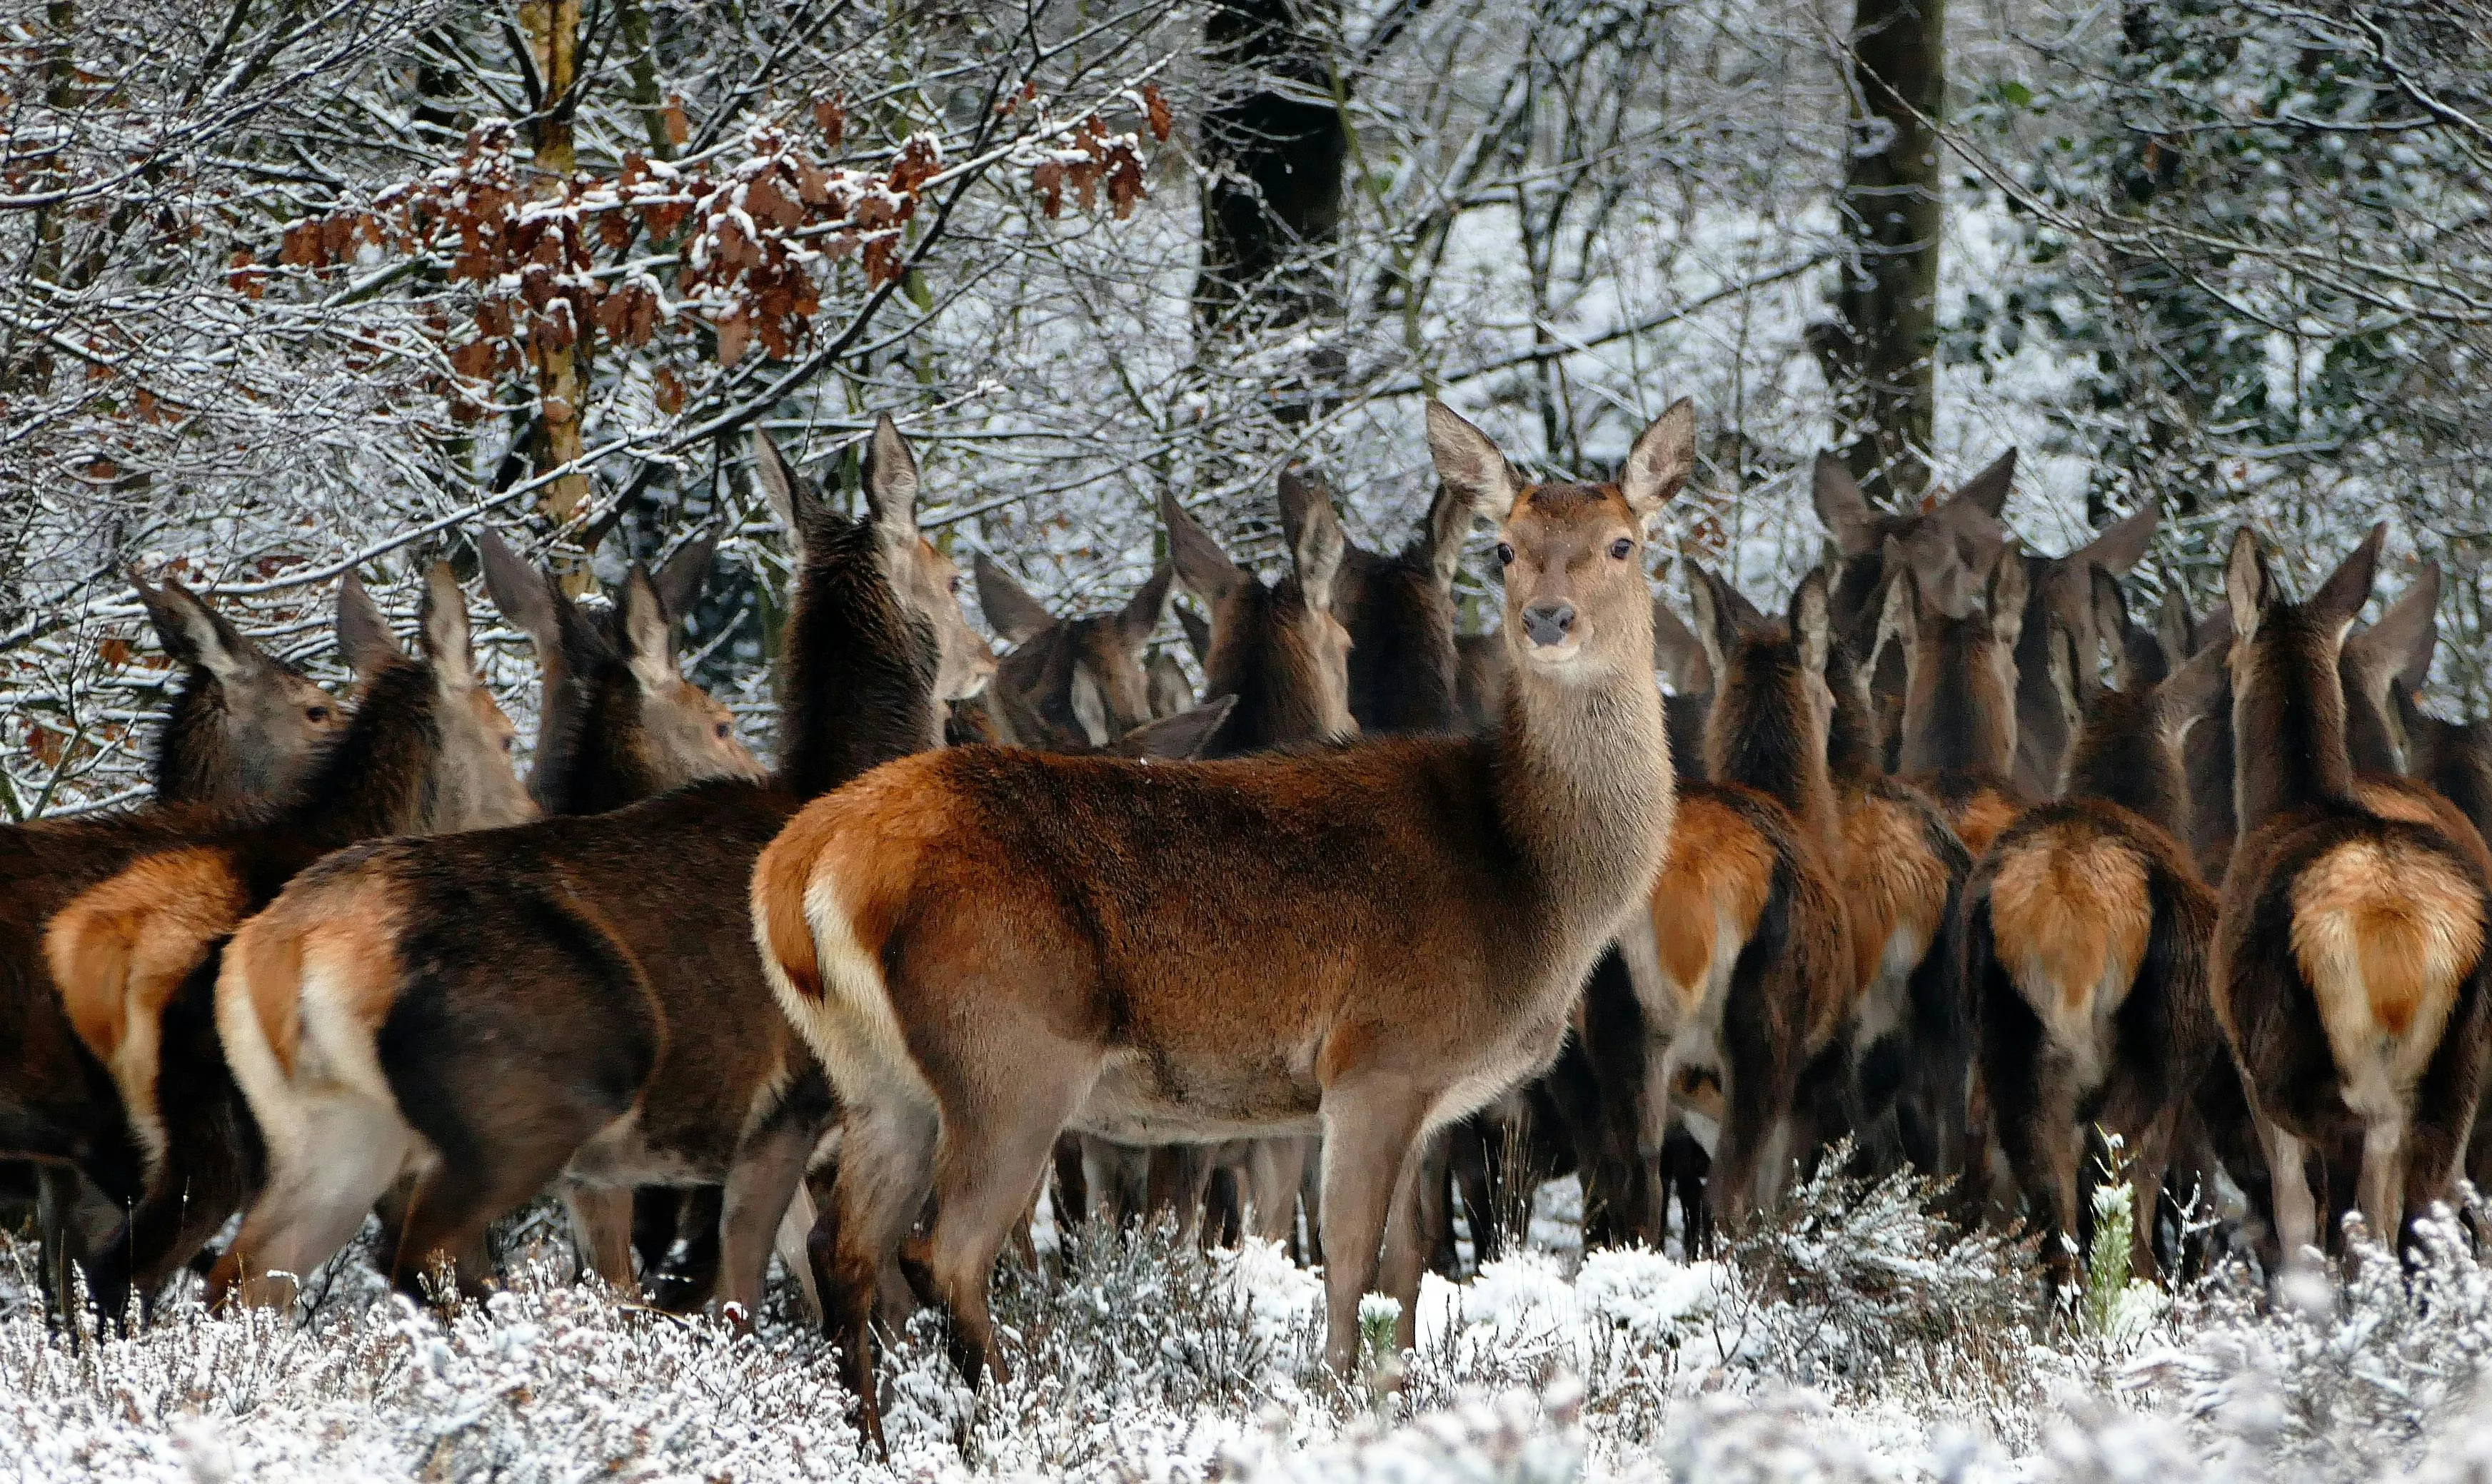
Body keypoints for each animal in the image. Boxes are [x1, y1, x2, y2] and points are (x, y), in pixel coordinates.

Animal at [206, 419, 988, 1323]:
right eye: (953, 575)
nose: (986, 658)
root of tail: (296, 942)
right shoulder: (784, 1108)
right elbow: (745, 1297)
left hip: (328, 1130)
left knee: (242, 1278)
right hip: (531, 1095)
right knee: (422, 1254)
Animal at [754, 398, 1690, 1447]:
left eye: (1621, 542)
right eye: (1504, 547)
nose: (1547, 619)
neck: (1533, 880)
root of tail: (804, 863)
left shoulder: (1427, 1094)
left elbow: (1406, 1274)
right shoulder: (1377, 1056)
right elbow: (1348, 1268)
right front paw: (1341, 1409)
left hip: (878, 1077)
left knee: (842, 1247)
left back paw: (876, 1437)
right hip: (1011, 1046)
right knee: (940, 1249)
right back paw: (1017, 1415)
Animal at [1961, 565, 2225, 1292]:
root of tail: (2066, 910)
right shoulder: (2181, 1085)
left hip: (2008, 1046)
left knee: (2049, 1213)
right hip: (2140, 1060)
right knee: (2110, 1197)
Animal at [2213, 524, 2492, 1264]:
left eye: (2227, 659)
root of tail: (2402, 943)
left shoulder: (2252, 1070)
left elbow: (2292, 1213)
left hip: (2330, 1074)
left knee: (2361, 1222)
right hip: (2459, 1075)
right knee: (2439, 1209)